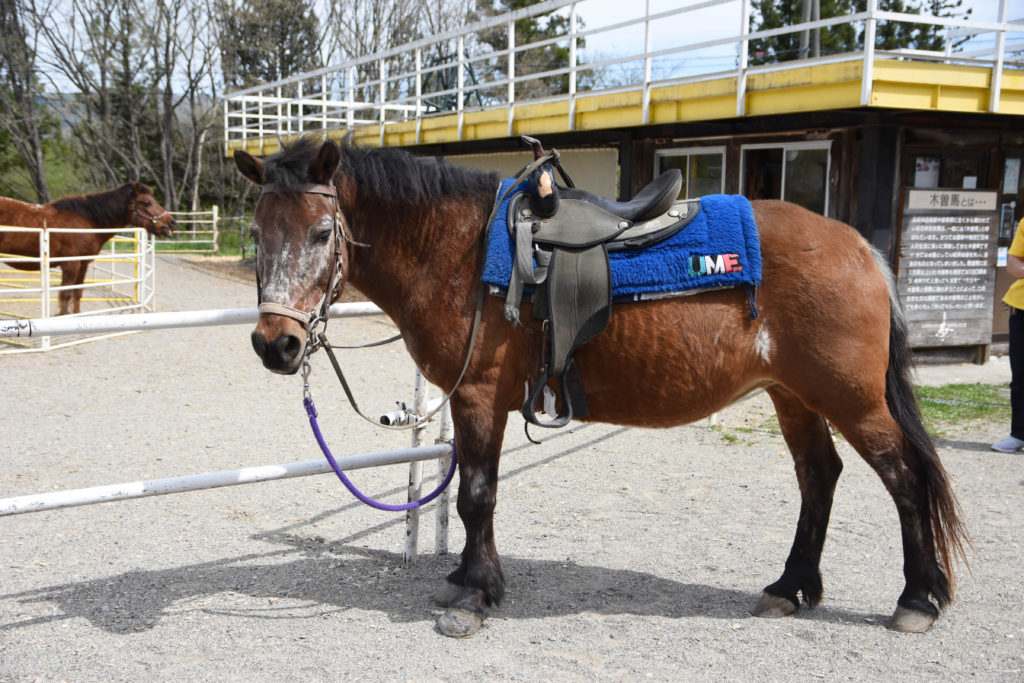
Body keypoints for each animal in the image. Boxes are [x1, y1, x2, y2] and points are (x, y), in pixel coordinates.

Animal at [0, 182, 175, 315]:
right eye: (147, 202)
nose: (171, 223)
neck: (87, 220)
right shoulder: (71, 265)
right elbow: (65, 294)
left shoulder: (83, 264)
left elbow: (77, 292)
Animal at [233, 137, 968, 638]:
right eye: (256, 232)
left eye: (321, 232)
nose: (276, 344)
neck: (461, 253)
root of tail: (861, 248)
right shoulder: (475, 402)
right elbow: (474, 492)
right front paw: (466, 578)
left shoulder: (478, 396)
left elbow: (476, 496)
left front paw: (477, 596)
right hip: (794, 397)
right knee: (820, 477)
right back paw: (791, 587)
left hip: (851, 399)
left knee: (905, 477)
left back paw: (916, 598)